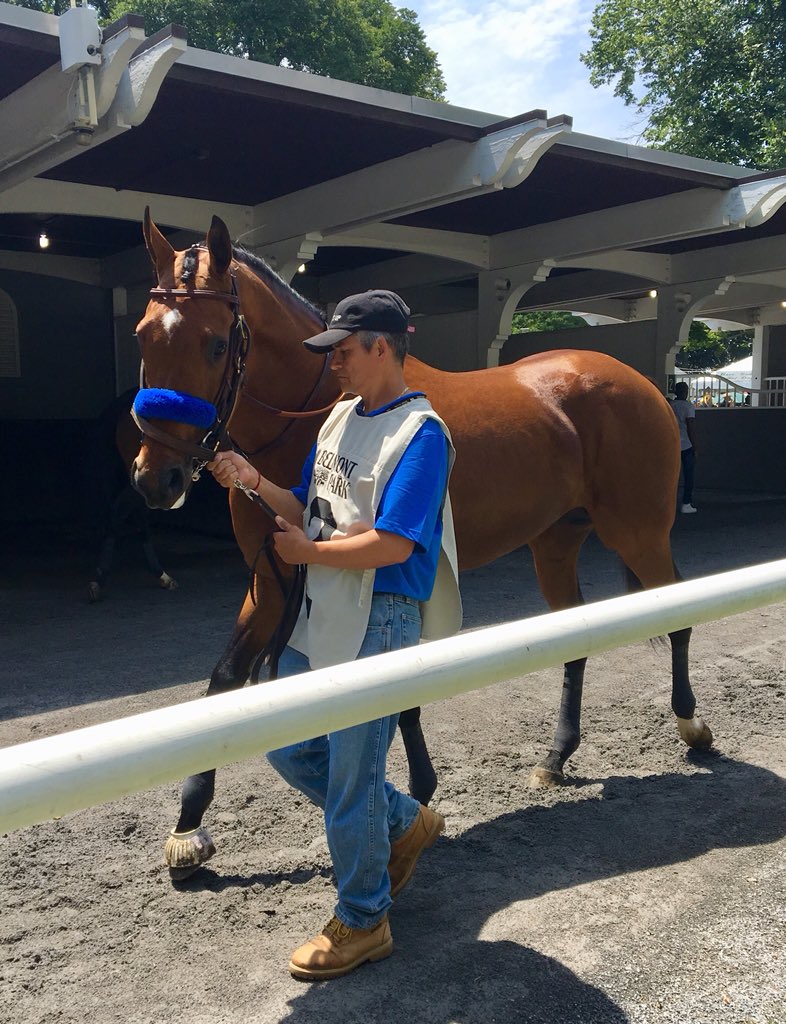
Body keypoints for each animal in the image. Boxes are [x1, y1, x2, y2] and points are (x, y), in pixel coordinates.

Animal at [131, 211, 712, 876]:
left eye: (215, 343)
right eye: (143, 336)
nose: (156, 478)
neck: (330, 407)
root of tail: (640, 382)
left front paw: (418, 792)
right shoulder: (271, 574)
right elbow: (226, 680)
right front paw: (188, 826)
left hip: (639, 532)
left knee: (678, 614)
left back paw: (692, 725)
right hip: (555, 543)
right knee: (574, 636)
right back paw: (556, 756)